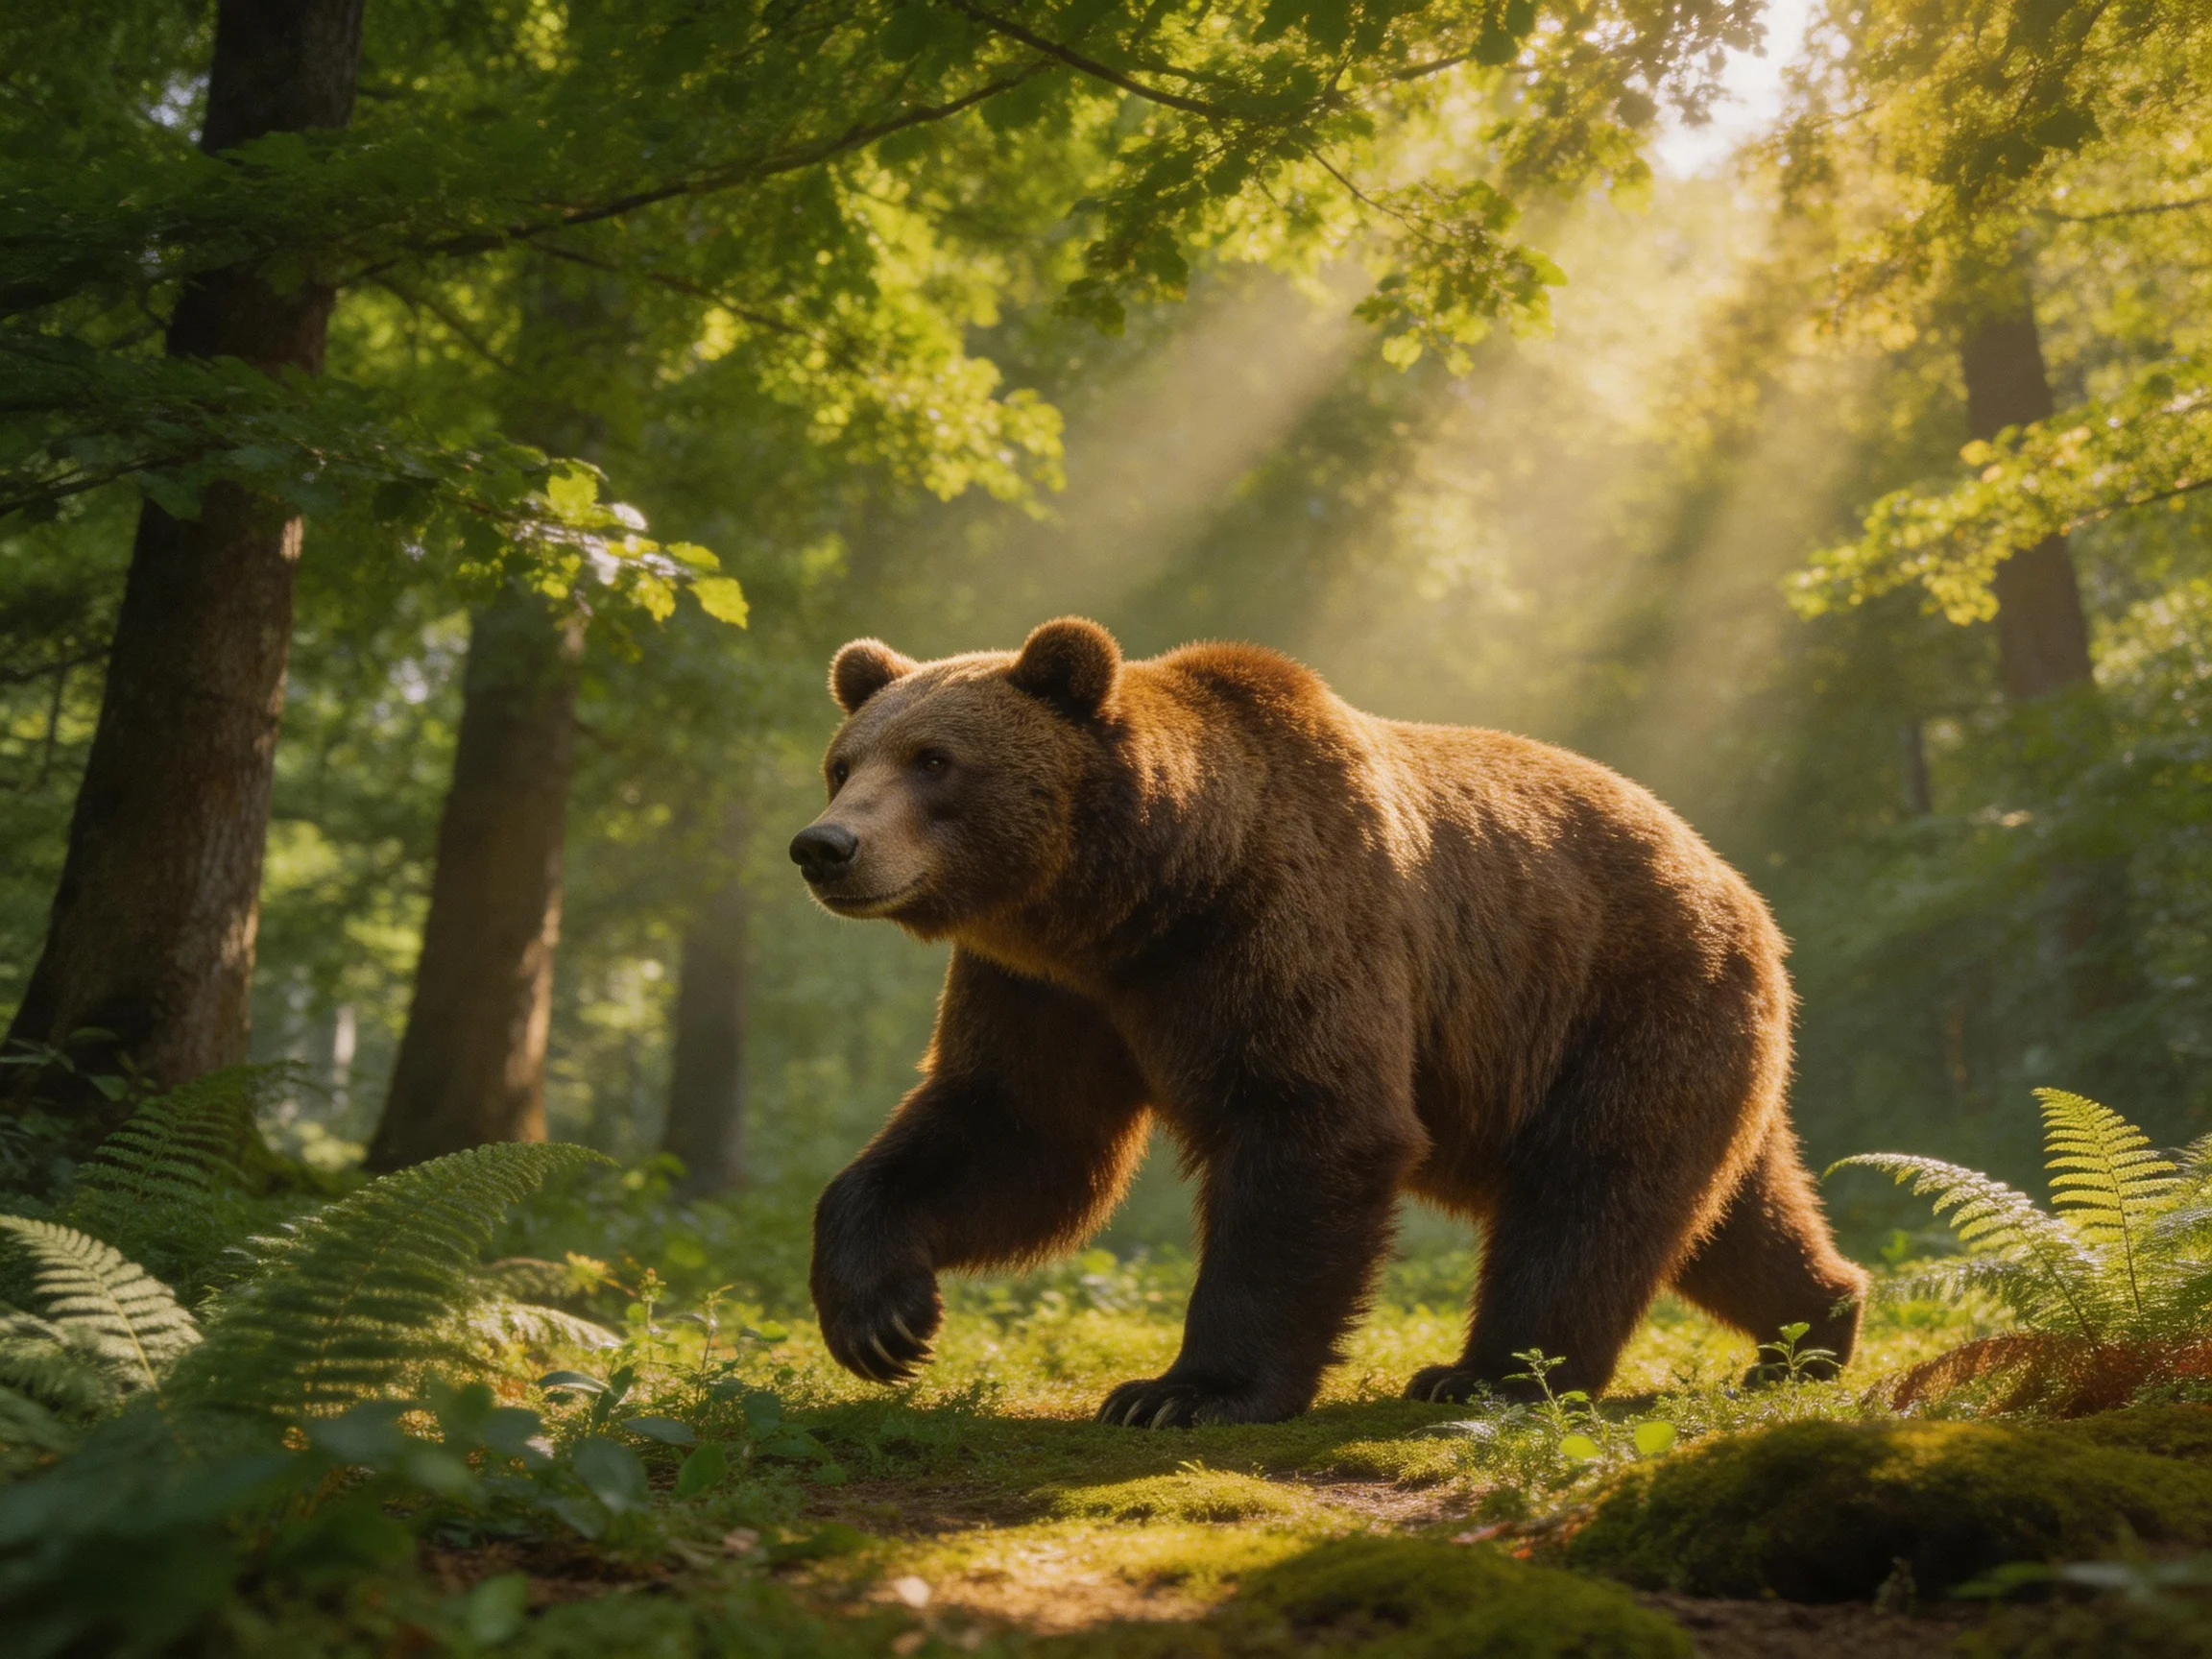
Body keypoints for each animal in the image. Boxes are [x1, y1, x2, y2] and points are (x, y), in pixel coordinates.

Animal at [790, 617, 1867, 1427]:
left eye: (934, 760)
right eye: (845, 762)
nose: (825, 846)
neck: (1141, 896)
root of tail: (1738, 891)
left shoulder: (1284, 921)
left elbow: (1310, 1124)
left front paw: (1184, 1391)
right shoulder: (1046, 988)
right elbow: (1018, 1133)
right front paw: (881, 1318)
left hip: (1619, 997)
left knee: (1593, 1194)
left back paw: (1488, 1374)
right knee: (1729, 1210)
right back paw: (1813, 1327)